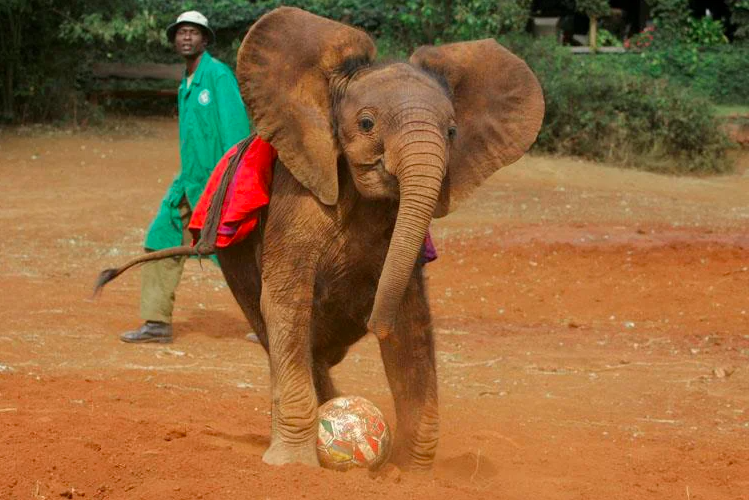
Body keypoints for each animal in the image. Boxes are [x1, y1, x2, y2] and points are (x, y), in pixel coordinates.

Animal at [96, 7, 544, 470]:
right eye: (366, 124)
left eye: (453, 132)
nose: (374, 324)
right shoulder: (297, 198)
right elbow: (287, 302)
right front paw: (293, 466)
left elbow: (413, 319)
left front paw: (414, 471)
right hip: (235, 255)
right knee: (277, 327)